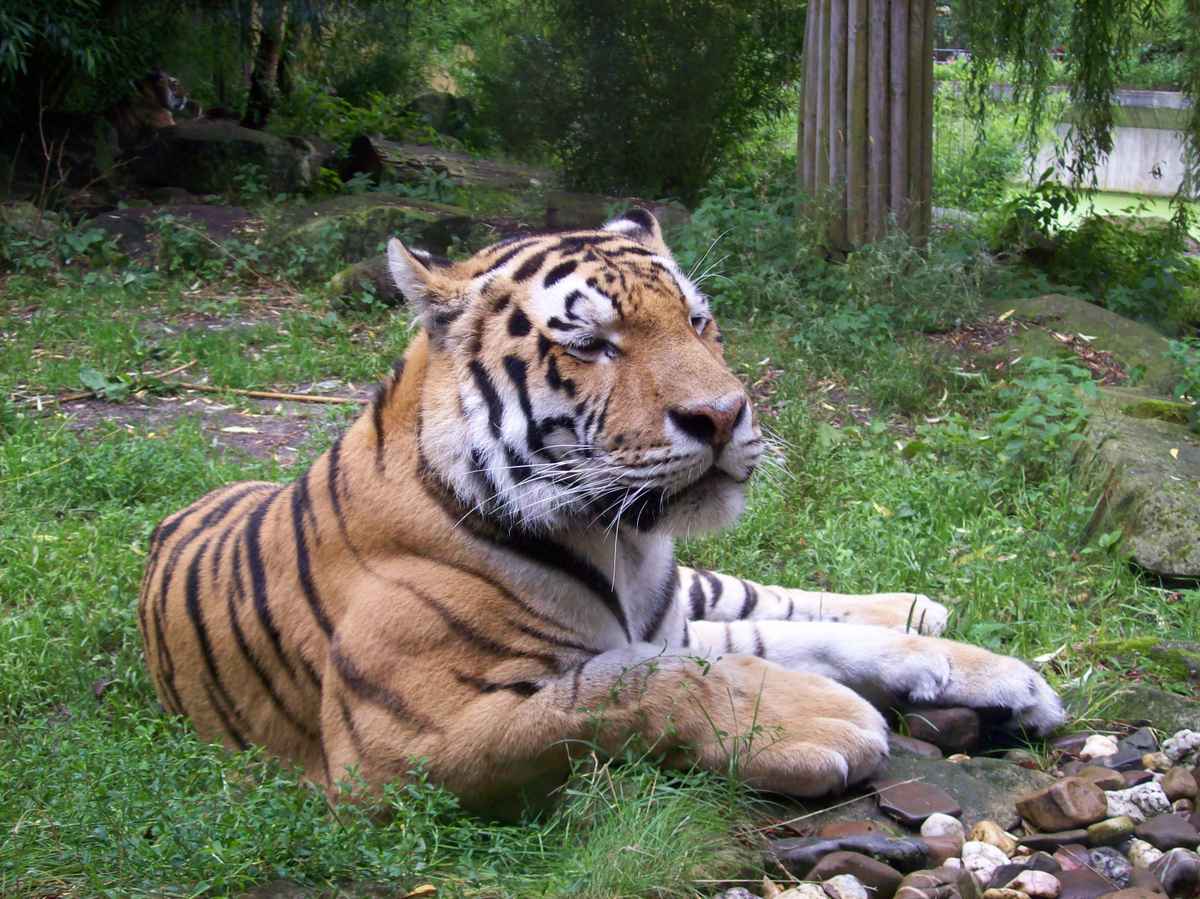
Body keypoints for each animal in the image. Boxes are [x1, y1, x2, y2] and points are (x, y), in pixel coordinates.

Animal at [139, 209, 1064, 815]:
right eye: (589, 343)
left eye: (697, 319)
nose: (724, 415)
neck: (618, 542)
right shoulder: (401, 747)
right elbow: (627, 684)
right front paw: (821, 717)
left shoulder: (665, 617)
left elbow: (758, 645)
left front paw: (998, 677)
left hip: (697, 592)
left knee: (767, 597)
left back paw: (929, 619)